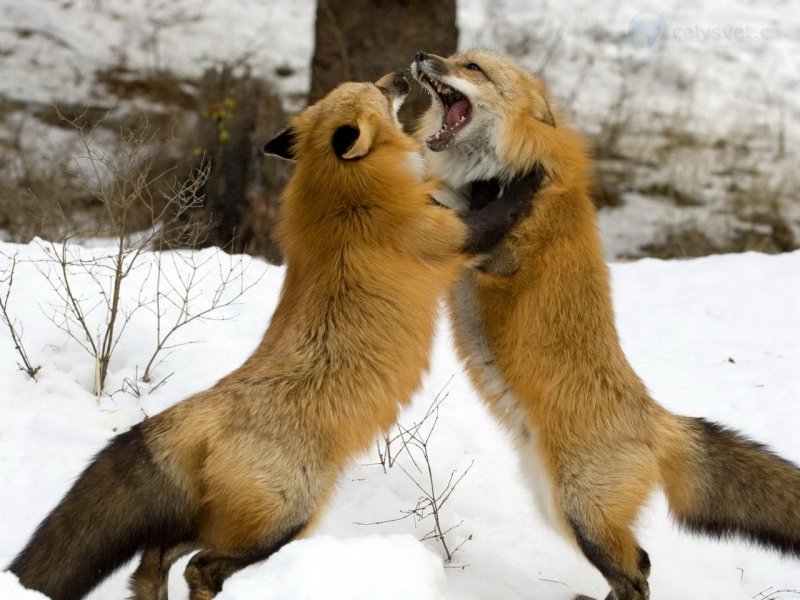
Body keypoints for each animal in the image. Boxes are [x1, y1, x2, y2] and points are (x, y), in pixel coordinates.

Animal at [6, 71, 542, 600]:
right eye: (378, 90)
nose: (400, 74)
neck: (345, 198)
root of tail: (201, 408)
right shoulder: (447, 237)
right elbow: (498, 212)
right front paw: (526, 178)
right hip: (287, 518)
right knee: (198, 567)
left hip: (226, 520)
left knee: (155, 556)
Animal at [411, 49, 800, 600]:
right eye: (457, 57)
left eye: (472, 68)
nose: (422, 56)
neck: (505, 168)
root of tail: (656, 419)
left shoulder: (497, 256)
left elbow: (456, 213)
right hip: (555, 505)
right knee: (637, 567)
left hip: (580, 512)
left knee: (639, 570)